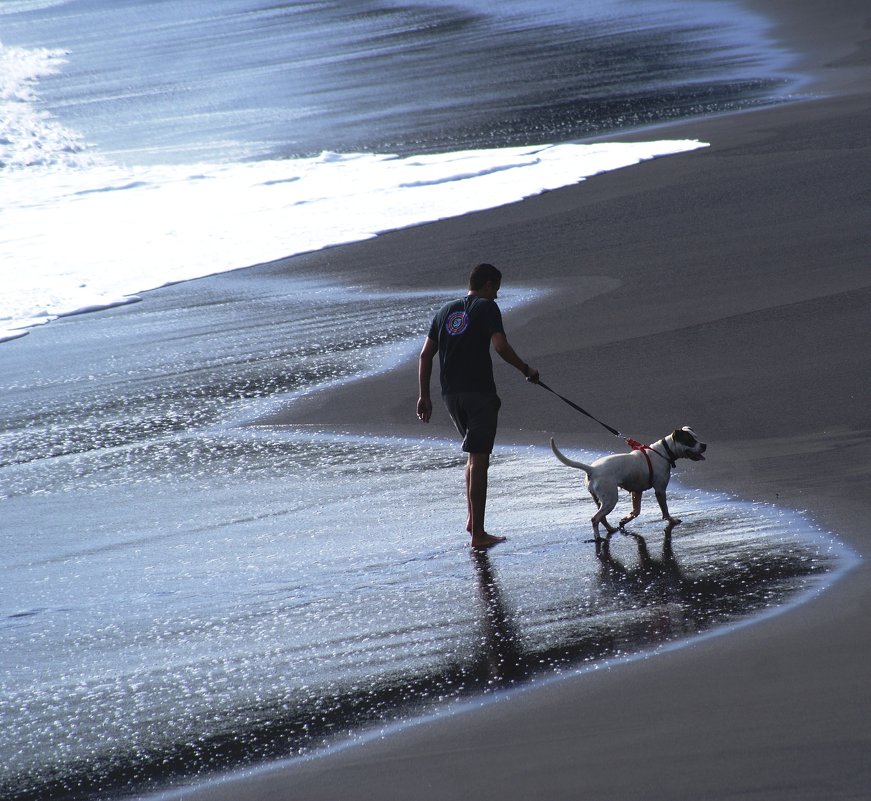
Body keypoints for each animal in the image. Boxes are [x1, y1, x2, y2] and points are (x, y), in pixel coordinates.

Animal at [556, 428, 704, 540]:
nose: (704, 445)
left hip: (601, 500)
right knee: (595, 518)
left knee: (601, 518)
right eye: (690, 440)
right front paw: (671, 520)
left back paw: (610, 529)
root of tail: (592, 469)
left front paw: (624, 520)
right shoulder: (660, 490)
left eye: (696, 438)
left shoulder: (636, 491)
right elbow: (665, 510)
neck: (663, 452)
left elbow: (636, 511)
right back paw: (598, 538)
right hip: (611, 500)